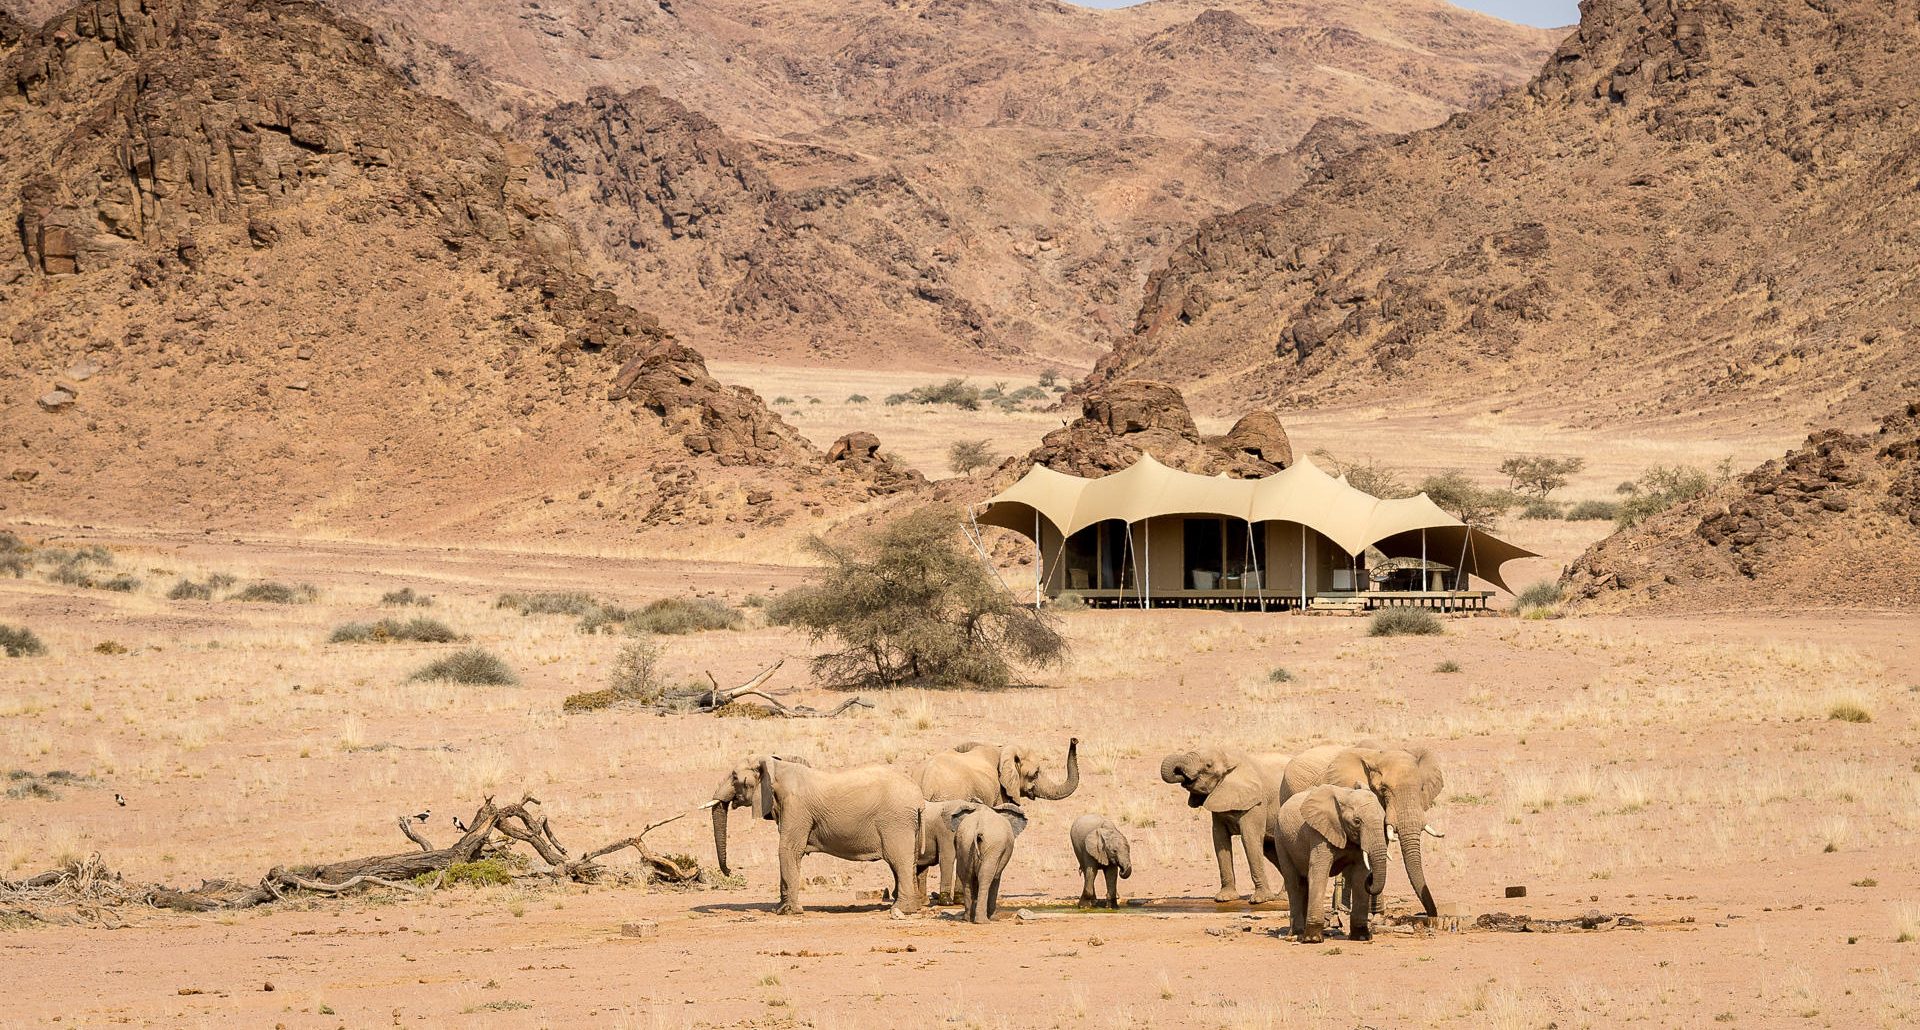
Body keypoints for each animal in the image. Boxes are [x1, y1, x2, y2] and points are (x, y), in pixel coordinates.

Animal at [706, 753, 921, 914]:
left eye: (734, 777)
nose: (730, 871)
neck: (777, 767)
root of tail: (917, 795)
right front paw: (779, 908)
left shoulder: (796, 807)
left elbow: (788, 850)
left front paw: (788, 911)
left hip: (896, 821)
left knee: (899, 861)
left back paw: (900, 910)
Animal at [1159, 749, 1297, 899]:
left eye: (1208, 765)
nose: (1181, 774)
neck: (1229, 758)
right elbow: (1220, 839)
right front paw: (1224, 898)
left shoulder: (1257, 802)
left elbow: (1249, 838)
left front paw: (1260, 900)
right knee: (1270, 847)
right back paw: (1284, 897)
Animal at [1267, 784, 1390, 945]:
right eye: (1357, 821)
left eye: (1383, 820)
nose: (1371, 879)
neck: (1345, 796)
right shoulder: (1318, 833)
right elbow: (1319, 871)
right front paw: (1313, 939)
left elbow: (1359, 876)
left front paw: (1361, 937)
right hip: (1281, 840)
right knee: (1294, 883)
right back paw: (1298, 933)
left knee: (1304, 883)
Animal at [1282, 741, 1443, 918]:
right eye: (1384, 789)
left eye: (1421, 789)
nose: (1429, 915)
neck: (1378, 756)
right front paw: (1372, 912)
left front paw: (1376, 912)